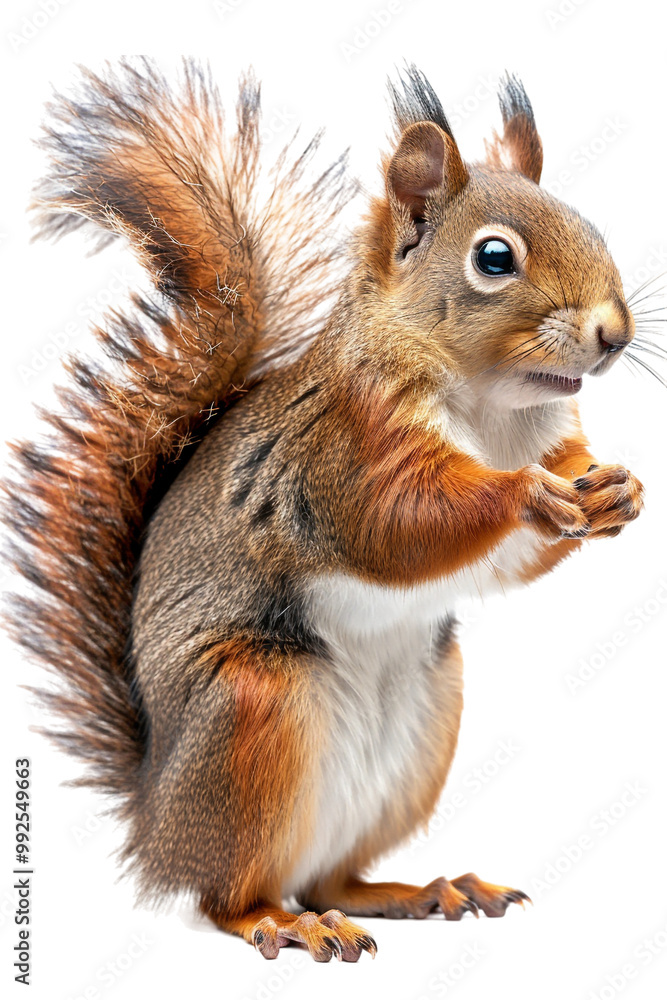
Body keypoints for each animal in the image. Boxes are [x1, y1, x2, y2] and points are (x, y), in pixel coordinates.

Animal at [3, 60, 647, 963]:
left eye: (591, 226)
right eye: (493, 258)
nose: (614, 334)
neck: (491, 410)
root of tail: (154, 821)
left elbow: (523, 537)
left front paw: (617, 490)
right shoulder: (339, 459)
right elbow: (400, 527)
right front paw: (521, 494)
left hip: (424, 723)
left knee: (332, 877)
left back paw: (424, 891)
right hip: (253, 708)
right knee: (226, 896)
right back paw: (277, 922)